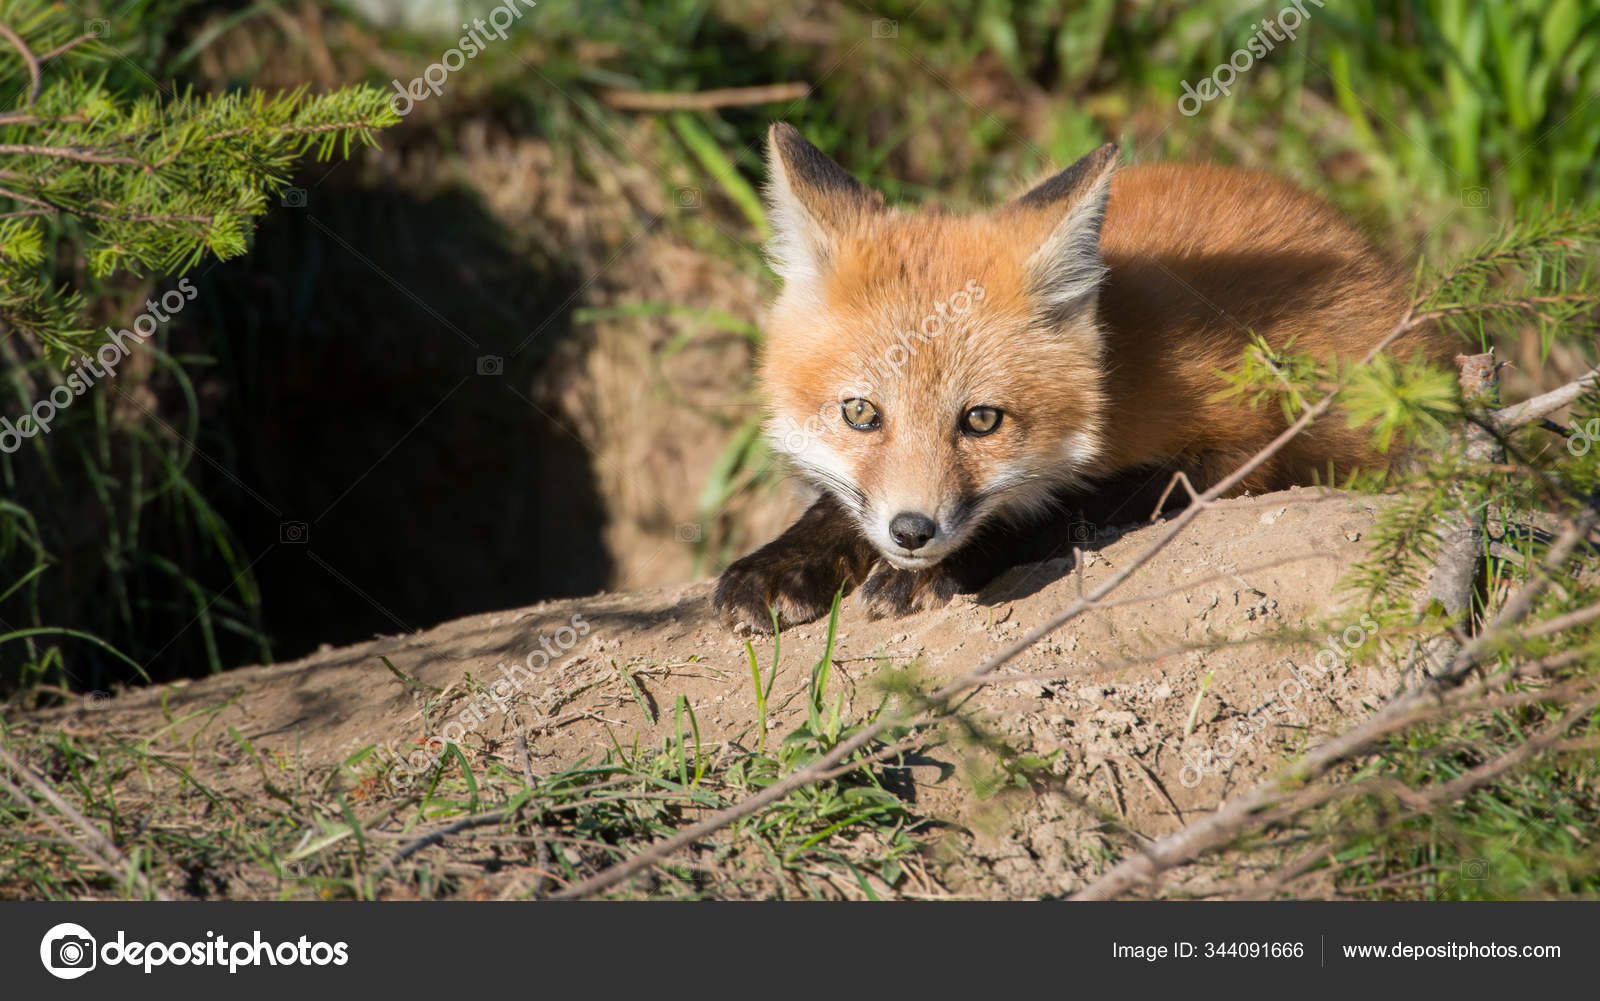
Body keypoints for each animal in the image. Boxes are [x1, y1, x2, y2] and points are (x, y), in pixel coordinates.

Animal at [713, 123, 1451, 633]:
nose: (913, 533)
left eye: (982, 420)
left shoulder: (1242, 441)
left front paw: (938, 569)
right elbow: (837, 506)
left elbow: (1068, 508)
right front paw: (783, 562)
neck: (1118, 369)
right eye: (861, 413)